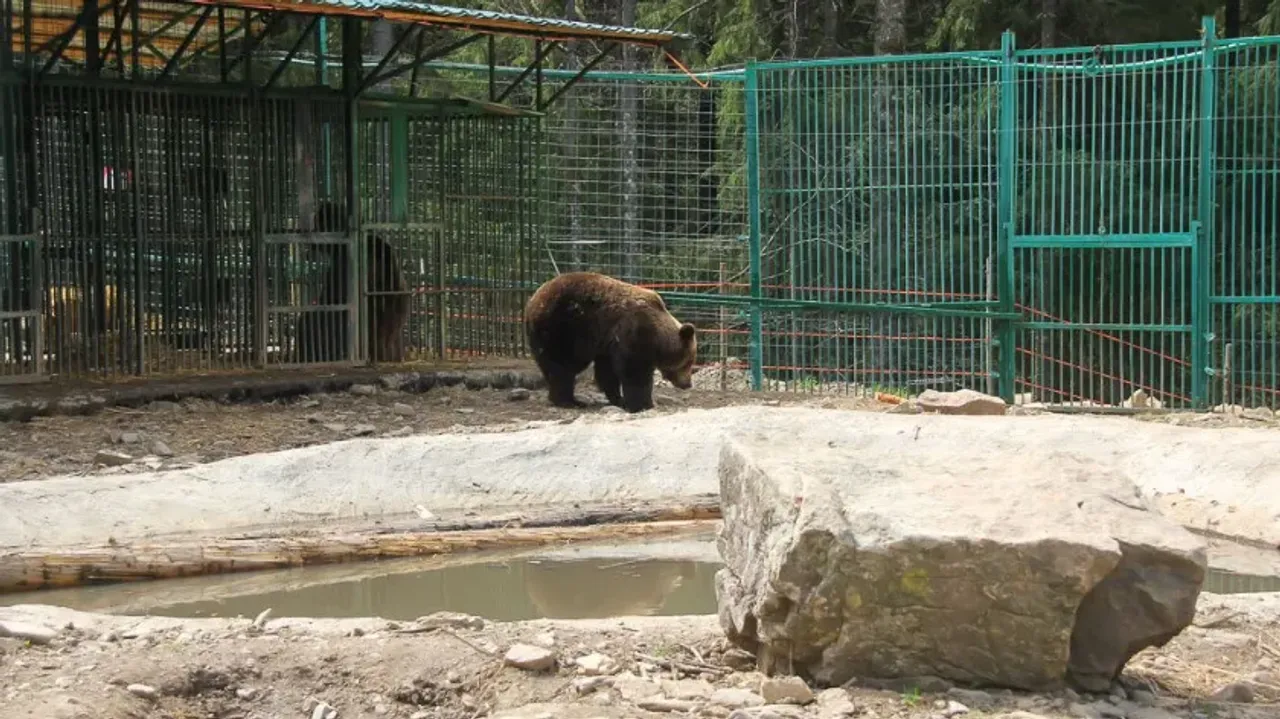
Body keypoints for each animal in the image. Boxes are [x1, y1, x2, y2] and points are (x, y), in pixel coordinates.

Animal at [522, 271, 701, 411]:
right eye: (689, 361)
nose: (688, 384)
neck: (657, 338)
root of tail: (531, 303)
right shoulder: (634, 334)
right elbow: (634, 371)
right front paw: (643, 403)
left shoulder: (607, 344)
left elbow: (607, 373)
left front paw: (619, 399)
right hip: (560, 328)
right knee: (562, 365)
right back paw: (569, 401)